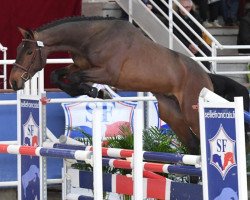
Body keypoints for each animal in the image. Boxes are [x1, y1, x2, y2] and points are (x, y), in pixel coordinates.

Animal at [8, 16, 214, 155]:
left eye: (29, 52)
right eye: (18, 50)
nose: (14, 81)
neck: (91, 38)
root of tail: (206, 76)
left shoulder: (107, 73)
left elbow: (75, 78)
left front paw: (97, 92)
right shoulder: (82, 66)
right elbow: (57, 75)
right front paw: (95, 92)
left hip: (191, 113)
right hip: (171, 113)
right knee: (193, 146)